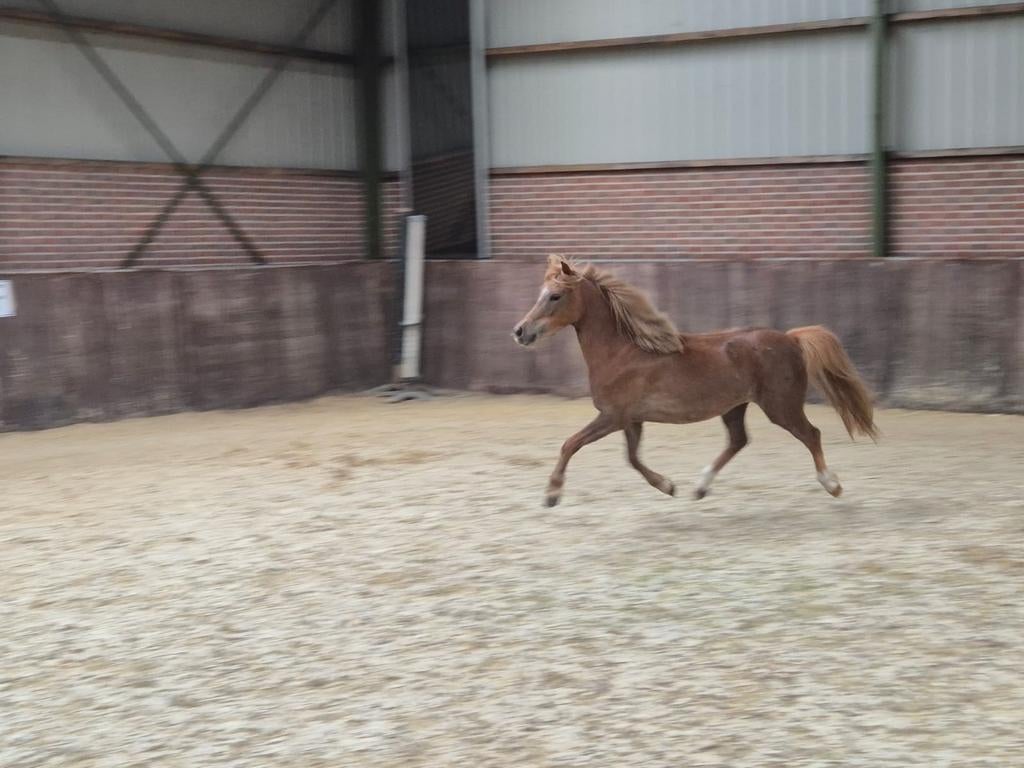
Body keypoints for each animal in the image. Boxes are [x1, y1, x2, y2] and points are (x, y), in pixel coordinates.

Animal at [512, 255, 878, 507]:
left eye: (555, 296)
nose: (520, 331)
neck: (622, 352)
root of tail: (791, 338)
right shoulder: (630, 419)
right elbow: (632, 458)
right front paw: (668, 485)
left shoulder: (612, 417)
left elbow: (571, 444)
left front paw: (552, 494)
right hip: (735, 406)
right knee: (738, 441)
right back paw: (700, 487)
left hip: (780, 406)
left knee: (810, 434)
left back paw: (832, 485)